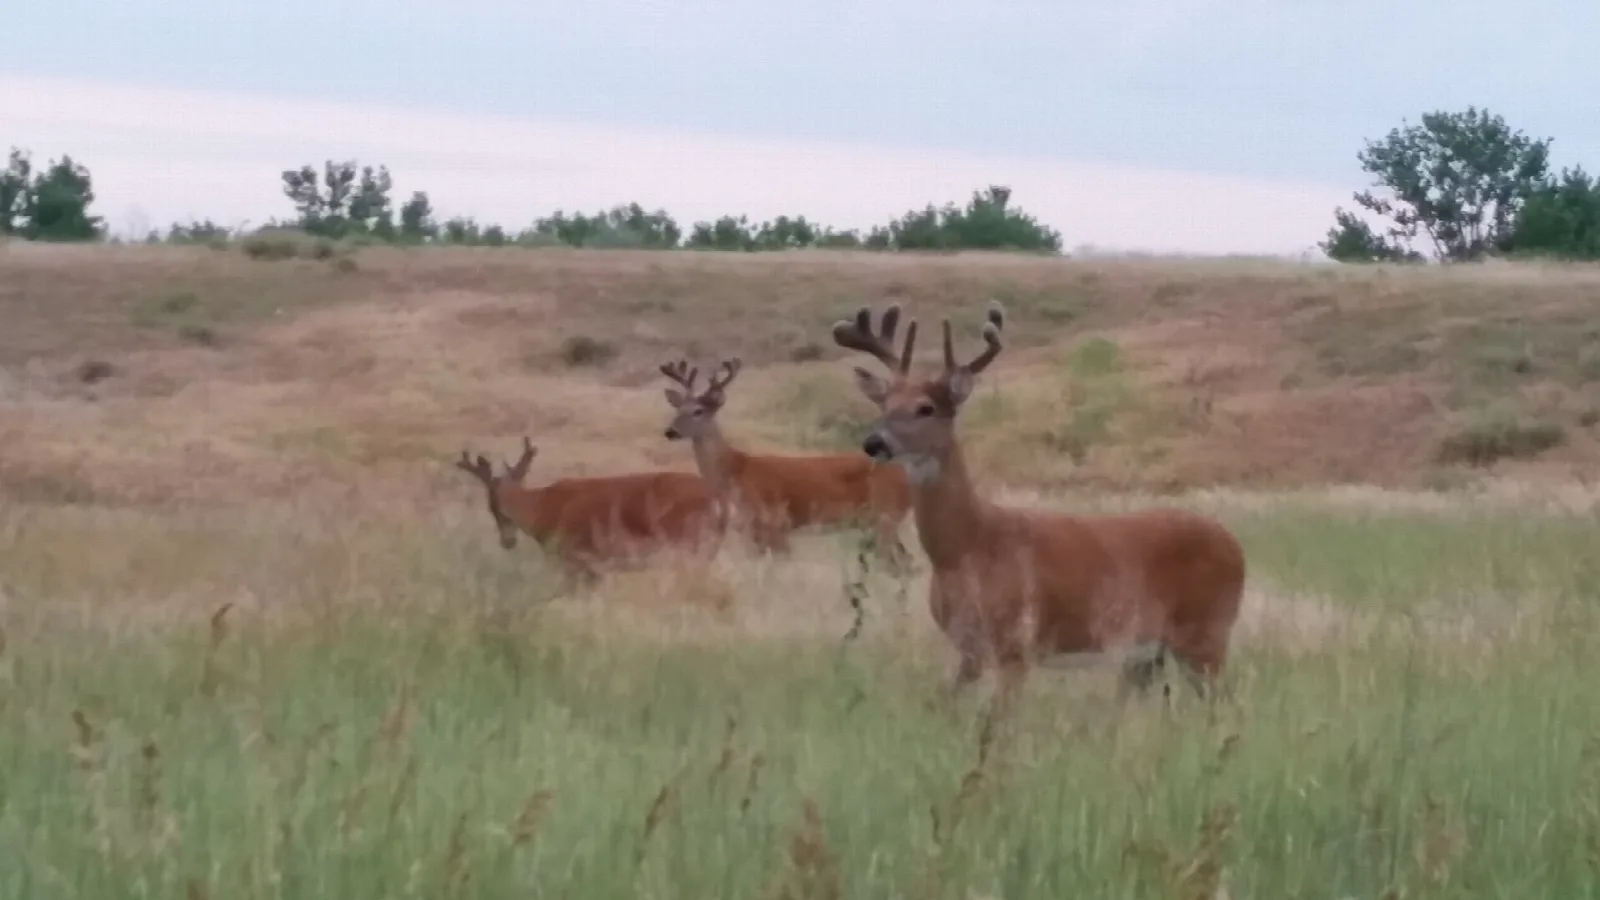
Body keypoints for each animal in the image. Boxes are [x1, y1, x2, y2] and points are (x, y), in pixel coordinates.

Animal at [454, 436, 725, 583]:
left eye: (492, 507)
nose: (507, 542)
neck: (543, 508)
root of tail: (717, 499)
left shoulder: (573, 558)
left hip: (687, 543)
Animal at [658, 356, 913, 571]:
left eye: (698, 411)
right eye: (677, 409)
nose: (670, 431)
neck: (734, 471)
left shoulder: (774, 523)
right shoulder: (751, 533)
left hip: (886, 515)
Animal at [830, 301, 1247, 705]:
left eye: (925, 408)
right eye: (885, 402)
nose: (874, 442)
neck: (967, 547)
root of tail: (1235, 545)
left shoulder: (1015, 645)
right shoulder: (968, 648)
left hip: (1206, 633)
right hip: (1148, 652)